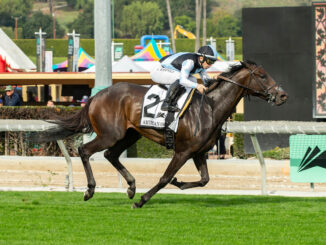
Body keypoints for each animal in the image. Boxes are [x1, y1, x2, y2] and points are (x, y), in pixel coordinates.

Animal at [35, 60, 288, 208]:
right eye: (262, 75)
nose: (282, 95)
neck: (210, 108)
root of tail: (96, 95)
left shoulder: (199, 153)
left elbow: (204, 180)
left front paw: (179, 183)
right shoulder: (183, 151)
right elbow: (165, 177)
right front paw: (143, 200)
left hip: (130, 134)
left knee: (110, 155)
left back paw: (131, 186)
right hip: (110, 134)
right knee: (84, 150)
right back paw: (90, 190)